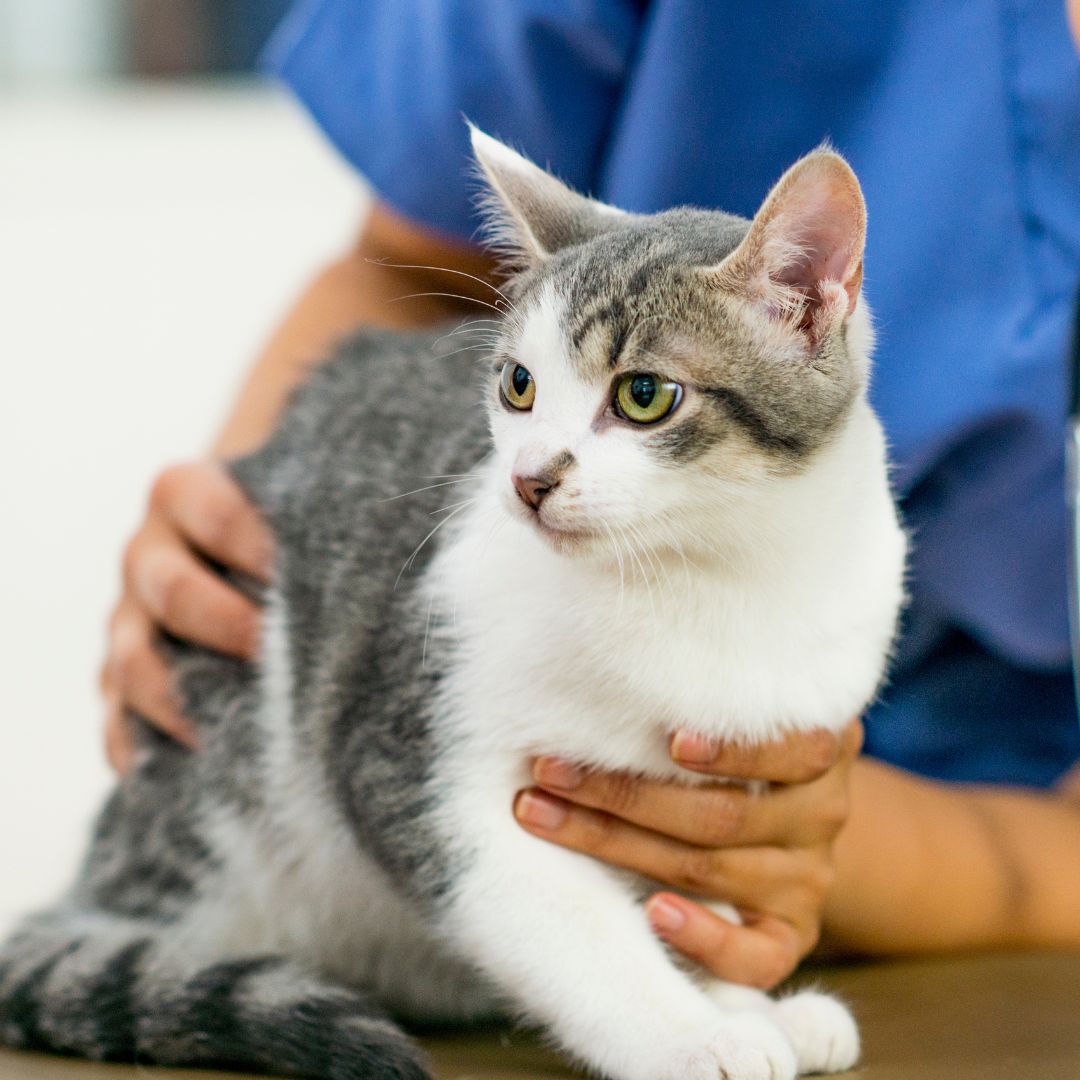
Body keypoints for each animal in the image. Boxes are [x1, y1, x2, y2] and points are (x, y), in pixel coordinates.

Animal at [0, 132, 902, 1080]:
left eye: (643, 395)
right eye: (518, 385)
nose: (530, 478)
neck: (712, 575)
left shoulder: (729, 783)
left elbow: (701, 904)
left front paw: (741, 998)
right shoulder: (411, 758)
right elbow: (566, 922)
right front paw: (695, 1034)